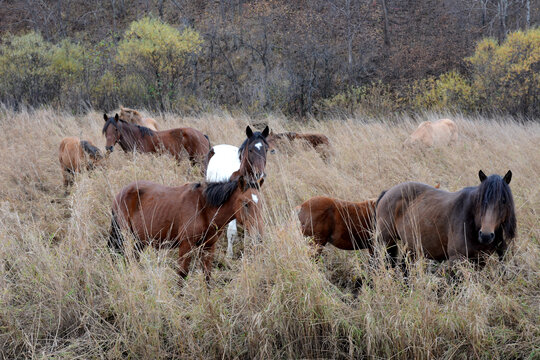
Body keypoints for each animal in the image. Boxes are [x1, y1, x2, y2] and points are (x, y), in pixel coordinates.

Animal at [108, 176, 264, 282]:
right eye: (246, 203)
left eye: (261, 204)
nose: (258, 236)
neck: (204, 208)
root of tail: (121, 193)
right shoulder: (186, 245)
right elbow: (182, 274)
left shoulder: (208, 246)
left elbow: (207, 275)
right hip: (124, 236)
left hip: (140, 240)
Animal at [376, 172, 516, 272]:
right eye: (481, 201)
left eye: (504, 201)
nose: (486, 235)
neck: (472, 223)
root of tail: (387, 192)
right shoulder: (456, 260)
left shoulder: (480, 260)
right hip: (388, 243)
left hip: (410, 247)